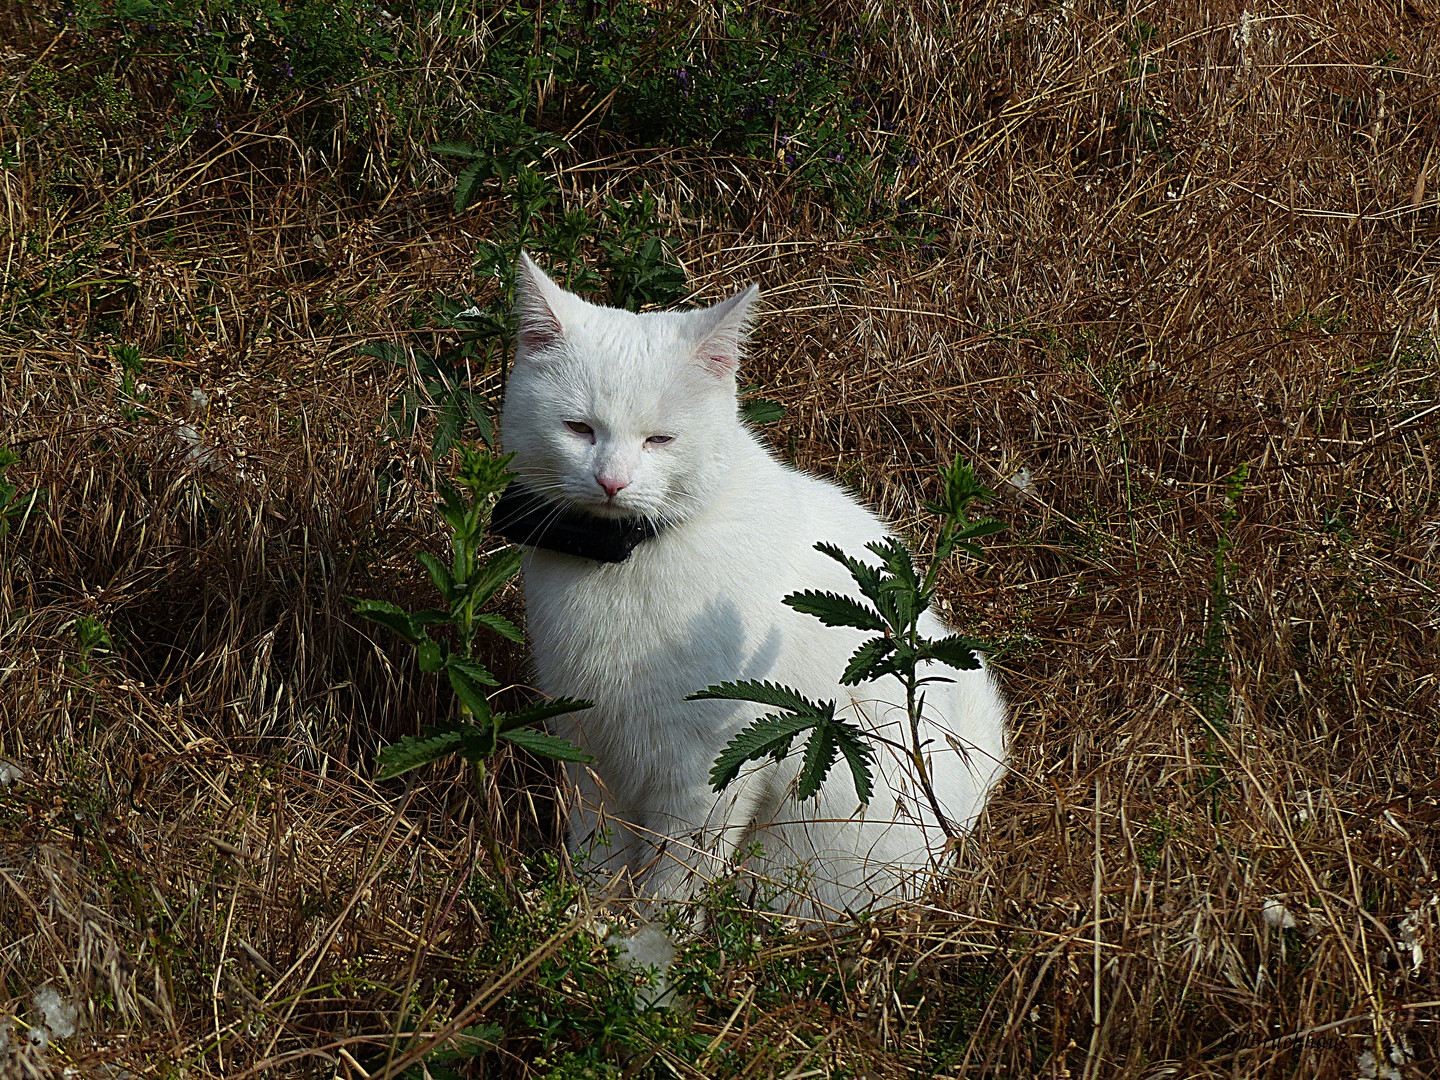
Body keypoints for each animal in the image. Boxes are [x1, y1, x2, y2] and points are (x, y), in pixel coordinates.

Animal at [501, 256, 1008, 921]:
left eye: (660, 439)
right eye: (578, 429)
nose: (612, 481)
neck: (622, 563)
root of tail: (963, 815)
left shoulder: (707, 771)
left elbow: (676, 877)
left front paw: (647, 941)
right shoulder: (591, 748)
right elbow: (597, 855)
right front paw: (584, 921)